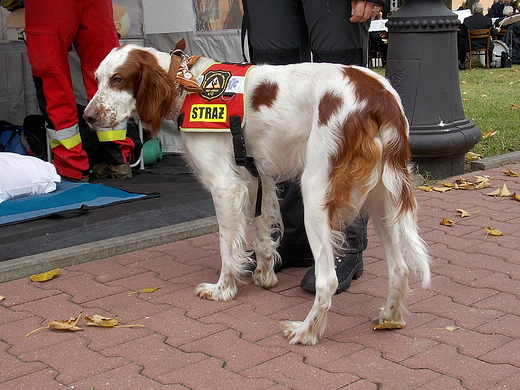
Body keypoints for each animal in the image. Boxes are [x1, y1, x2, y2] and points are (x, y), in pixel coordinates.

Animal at [83, 40, 430, 344]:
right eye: (97, 79)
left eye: (118, 79)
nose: (87, 117)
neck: (185, 82)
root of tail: (379, 95)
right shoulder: (255, 176)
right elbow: (261, 231)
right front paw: (264, 274)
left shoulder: (225, 185)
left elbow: (227, 246)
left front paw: (223, 289)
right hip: (383, 198)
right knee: (399, 268)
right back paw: (390, 318)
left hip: (316, 192)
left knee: (328, 280)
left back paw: (307, 332)